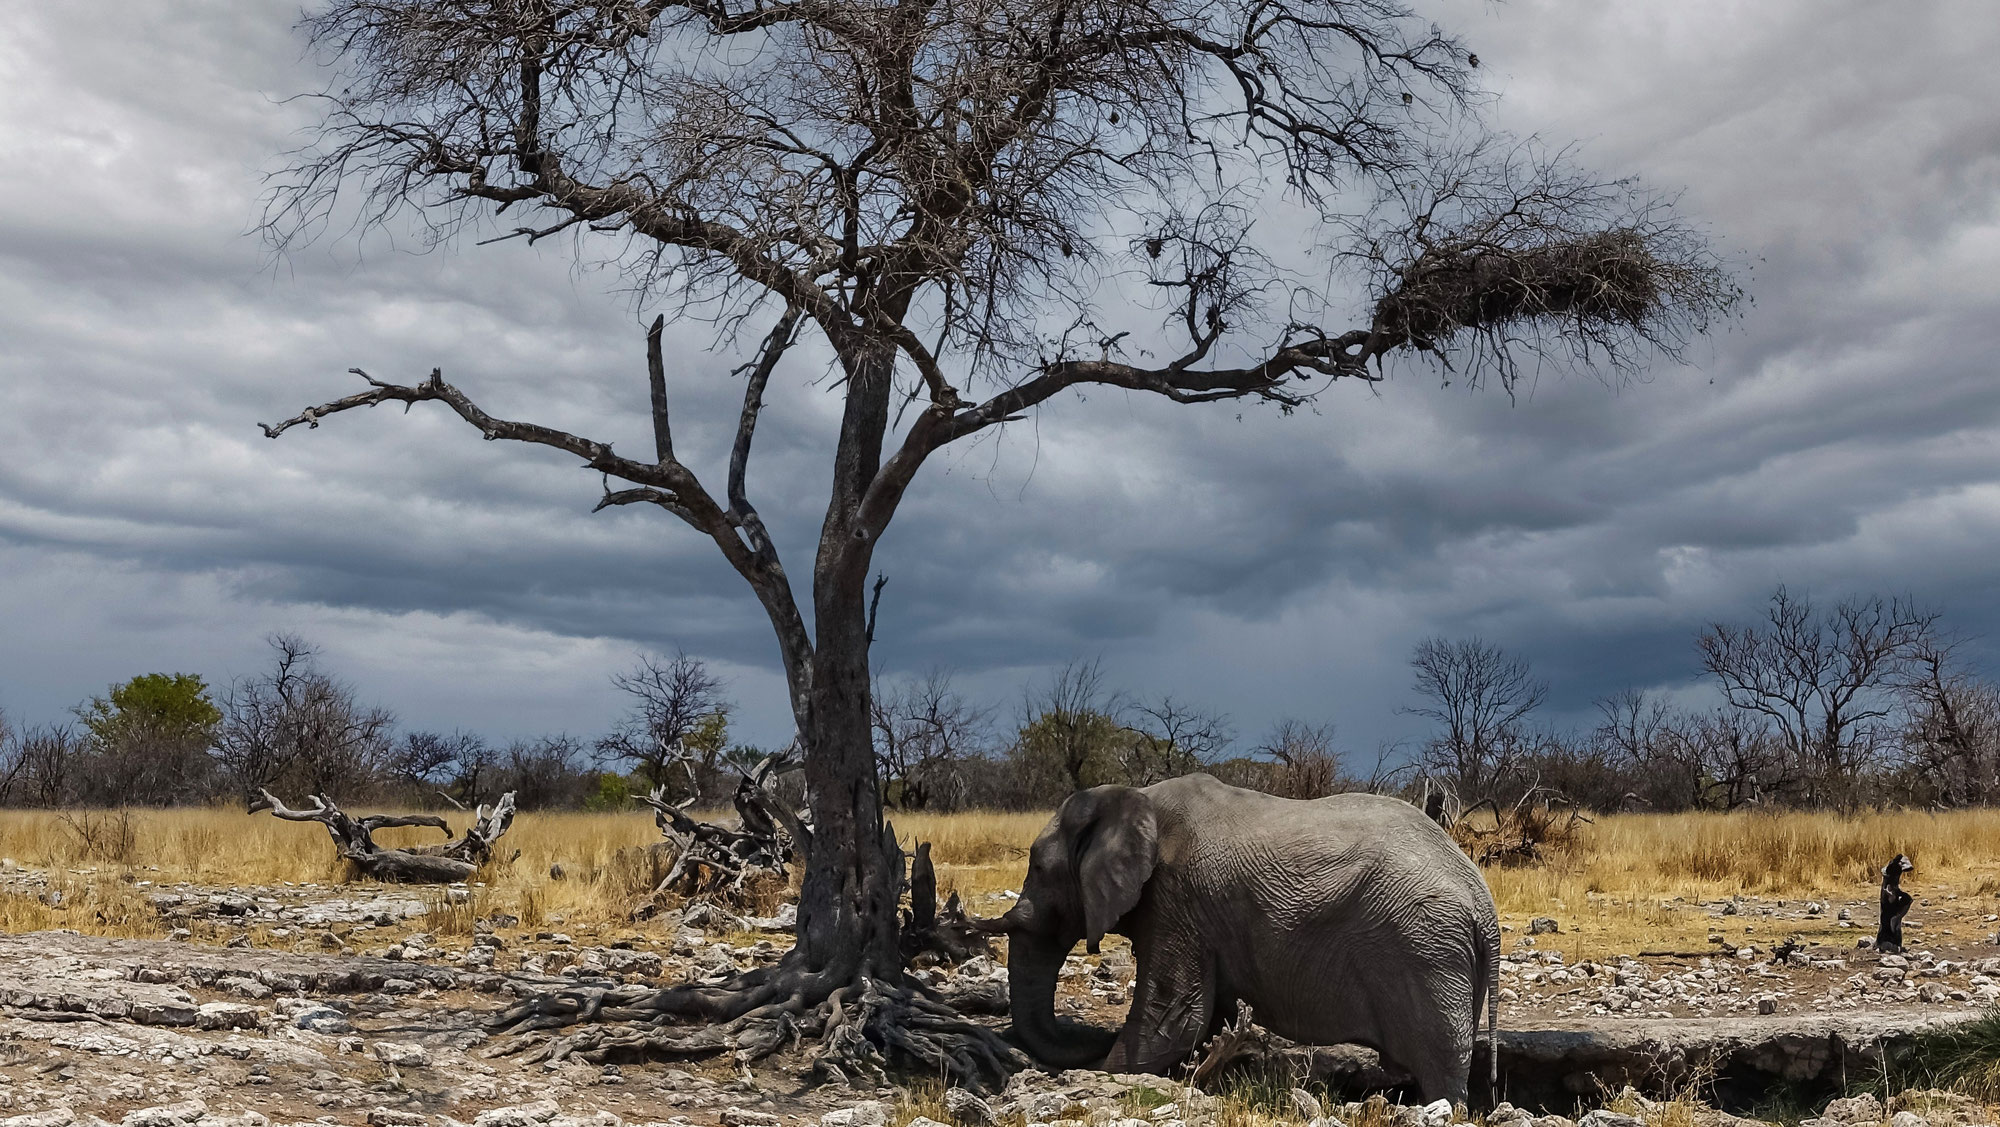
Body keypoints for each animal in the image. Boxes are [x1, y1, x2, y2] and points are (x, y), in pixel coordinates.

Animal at [984, 771, 1504, 1103]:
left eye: (1038, 868)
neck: (1134, 796)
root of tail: (1484, 904)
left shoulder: (1177, 897)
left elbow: (1173, 1017)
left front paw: (1099, 1074)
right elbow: (1203, 1017)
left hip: (1429, 952)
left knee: (1442, 1067)